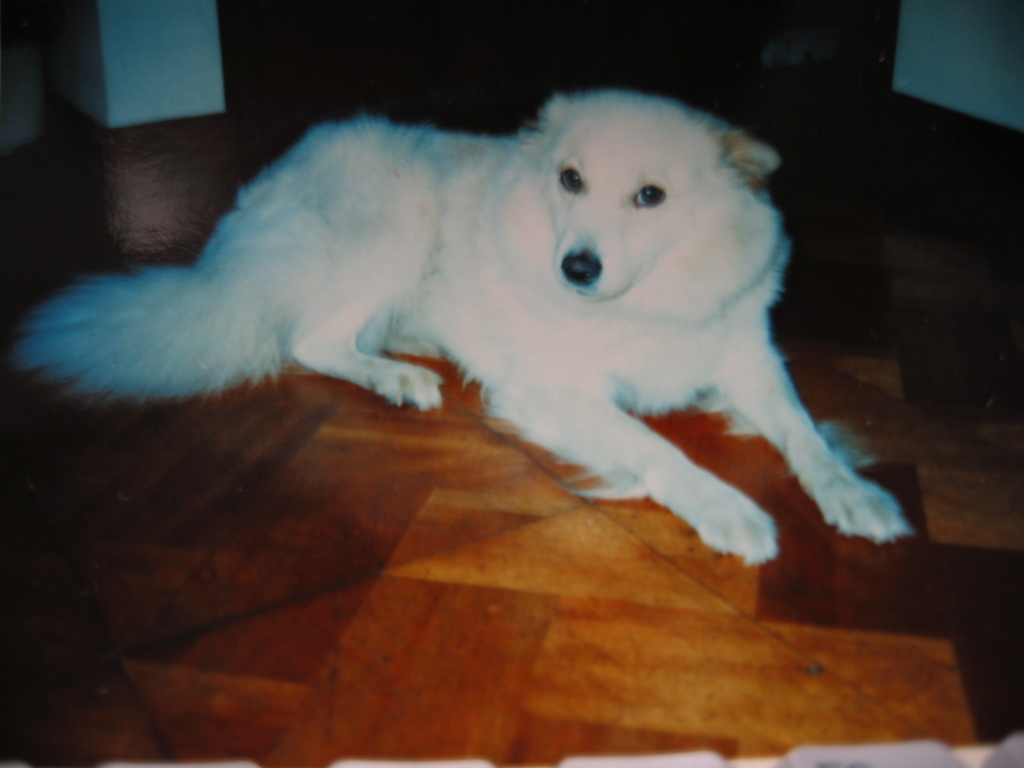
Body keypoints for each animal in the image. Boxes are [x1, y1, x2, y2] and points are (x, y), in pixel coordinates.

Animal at [11, 89, 912, 563]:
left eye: (650, 197)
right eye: (570, 180)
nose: (575, 268)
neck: (648, 299)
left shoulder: (750, 362)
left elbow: (805, 436)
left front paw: (855, 495)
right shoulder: (560, 391)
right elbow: (661, 450)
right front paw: (728, 510)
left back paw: (411, 350)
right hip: (395, 225)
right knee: (309, 340)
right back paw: (400, 375)